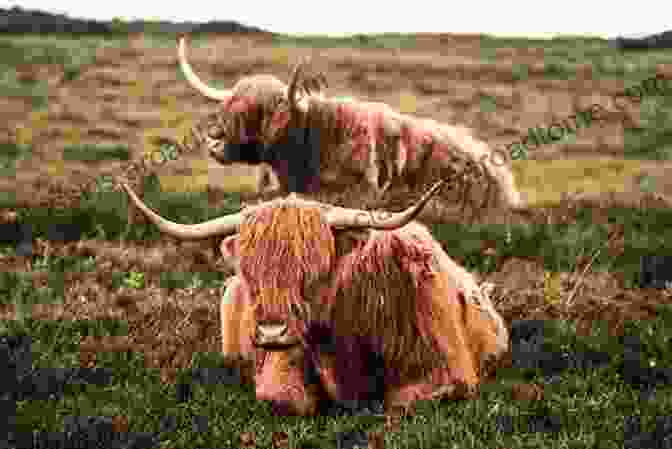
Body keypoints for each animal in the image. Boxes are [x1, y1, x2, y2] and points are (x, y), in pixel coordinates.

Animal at [122, 179, 510, 416]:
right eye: (250, 273)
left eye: (312, 273)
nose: (271, 332)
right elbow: (283, 399)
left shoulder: (449, 373)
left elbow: (403, 401)